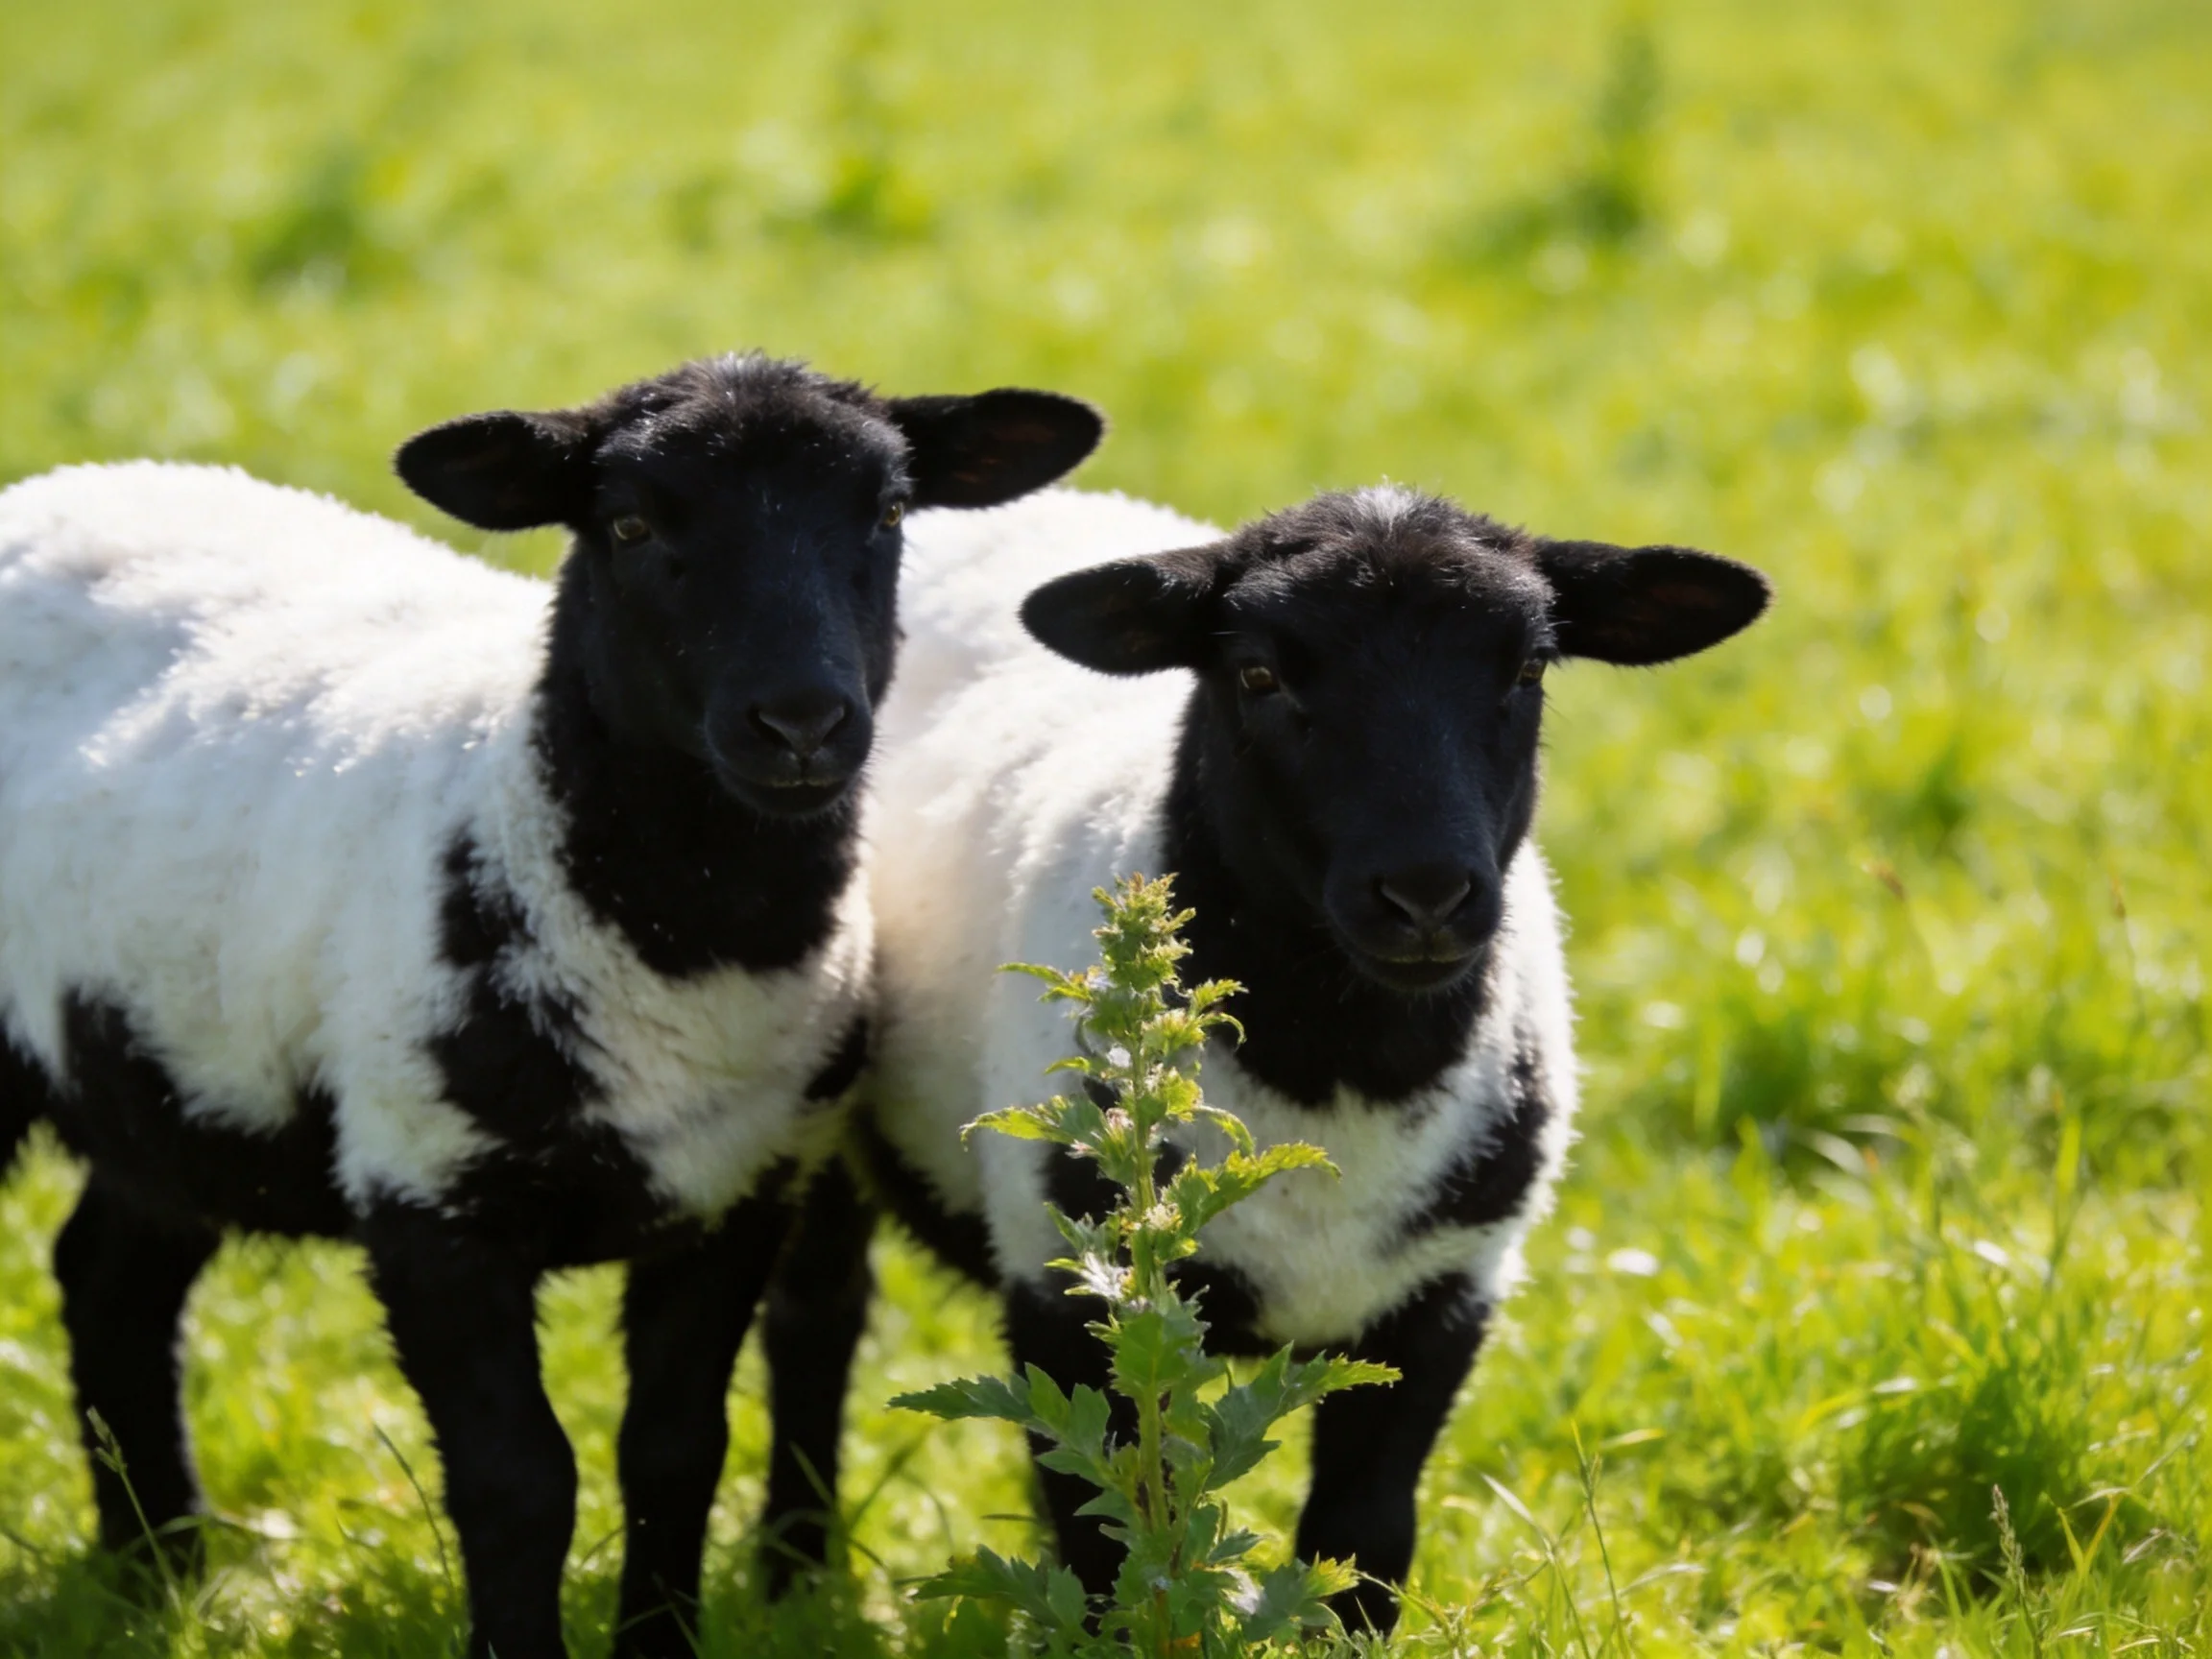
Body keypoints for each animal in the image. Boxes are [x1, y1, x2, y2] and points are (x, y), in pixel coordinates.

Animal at [0, 351, 1104, 1659]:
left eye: (886, 514)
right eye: (627, 525)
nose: (801, 723)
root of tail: (62, 485)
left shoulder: (737, 1192)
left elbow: (673, 1453)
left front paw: (662, 1643)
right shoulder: (429, 1193)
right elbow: (519, 1480)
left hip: (172, 1074)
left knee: (110, 1280)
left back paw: (158, 1578)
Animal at [759, 483, 1769, 1630]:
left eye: (1527, 670)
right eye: (1258, 675)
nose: (1428, 894)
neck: (1341, 1075)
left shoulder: (1442, 1302)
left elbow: (1362, 1545)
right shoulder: (1074, 1287)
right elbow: (1112, 1556)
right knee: (816, 1323)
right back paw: (792, 1580)